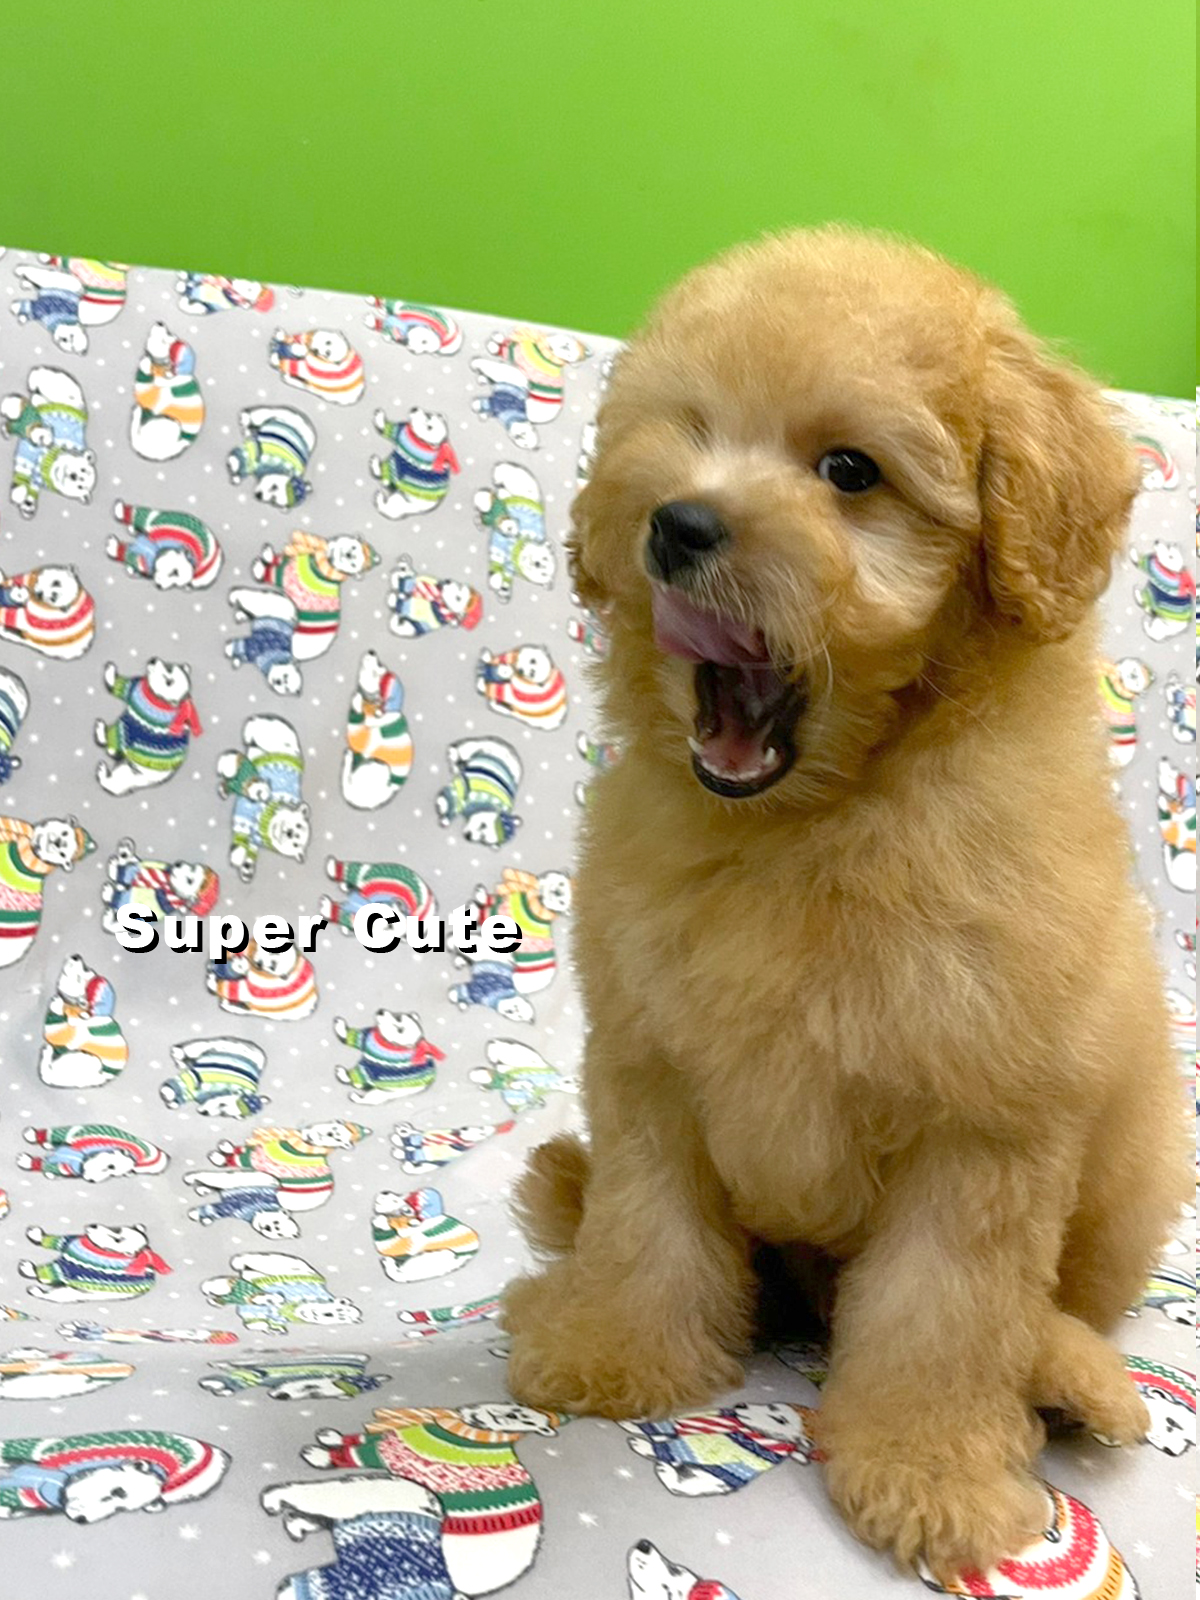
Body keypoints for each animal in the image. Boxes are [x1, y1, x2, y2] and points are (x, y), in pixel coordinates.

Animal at [0, 366, 96, 517]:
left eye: (80, 485)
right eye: (82, 469)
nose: (73, 476)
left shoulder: (36, 478)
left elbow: (31, 489)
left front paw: (27, 505)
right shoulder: (29, 456)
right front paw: (18, 494)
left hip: (47, 400)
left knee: (36, 399)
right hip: (61, 393)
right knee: (44, 379)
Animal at [95, 657, 201, 795]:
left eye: (168, 679)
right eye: (169, 665)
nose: (153, 659)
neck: (160, 700)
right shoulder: (134, 689)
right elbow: (122, 686)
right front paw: (110, 671)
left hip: (131, 771)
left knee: (116, 781)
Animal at [217, 714, 310, 881]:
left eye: (295, 843)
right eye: (298, 826)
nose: (290, 832)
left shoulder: (254, 839)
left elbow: (250, 853)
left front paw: (246, 869)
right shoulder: (243, 816)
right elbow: (240, 836)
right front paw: (237, 856)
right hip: (271, 740)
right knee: (253, 733)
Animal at [501, 226, 1191, 1583]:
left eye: (850, 472)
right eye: (688, 431)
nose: (676, 522)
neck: (814, 822)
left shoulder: (987, 1124)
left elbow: (945, 1313)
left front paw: (930, 1475)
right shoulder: (653, 1057)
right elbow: (645, 1225)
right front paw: (616, 1349)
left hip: (1140, 1158)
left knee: (1056, 1307)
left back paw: (1079, 1377)